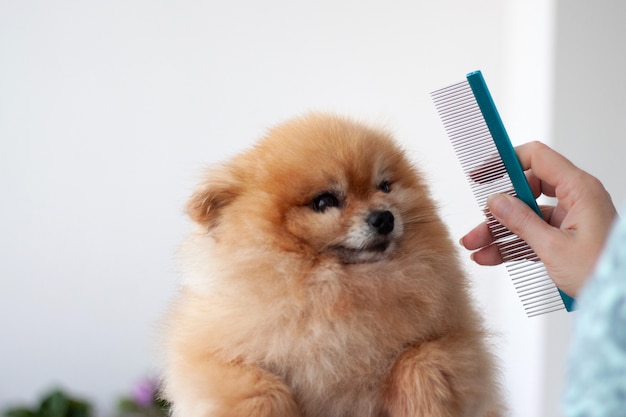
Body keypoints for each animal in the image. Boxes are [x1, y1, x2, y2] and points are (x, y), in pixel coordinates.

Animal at [161, 113, 502, 416]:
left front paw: (423, 406)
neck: (336, 290)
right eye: (324, 202)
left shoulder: (460, 339)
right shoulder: (206, 359)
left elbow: (420, 359)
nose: (384, 217)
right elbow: (258, 387)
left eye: (384, 186)